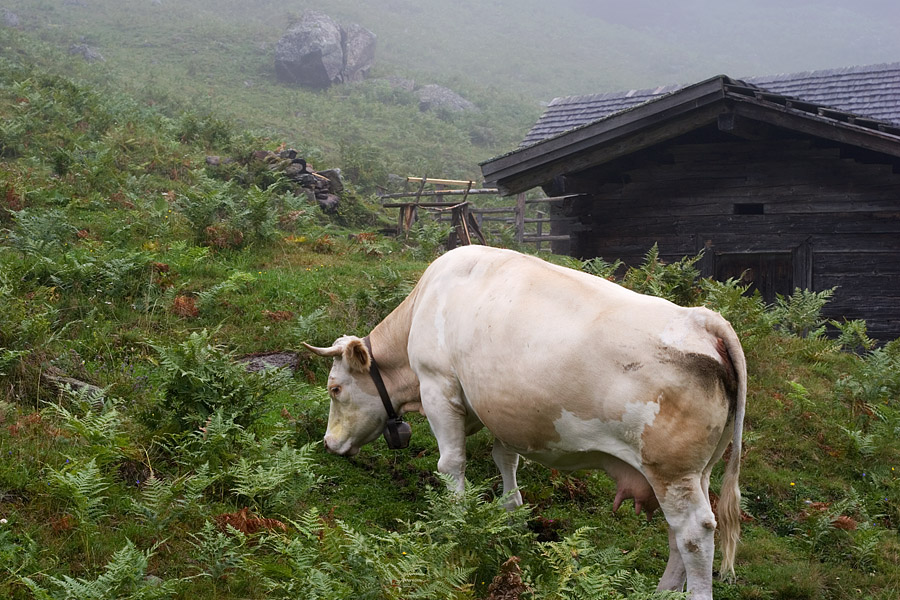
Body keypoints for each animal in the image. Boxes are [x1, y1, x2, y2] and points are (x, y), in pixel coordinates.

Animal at [306, 245, 748, 600]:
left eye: (335, 389)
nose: (328, 443)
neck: (425, 305)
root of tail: (704, 320)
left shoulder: (438, 387)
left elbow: (451, 464)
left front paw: (456, 522)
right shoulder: (505, 411)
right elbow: (506, 459)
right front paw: (510, 513)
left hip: (671, 469)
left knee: (694, 533)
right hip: (693, 472)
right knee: (677, 534)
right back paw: (661, 592)